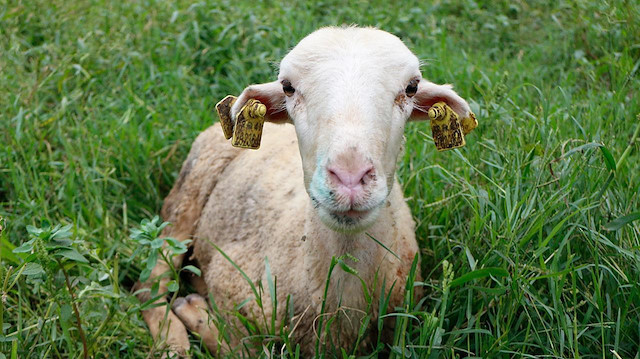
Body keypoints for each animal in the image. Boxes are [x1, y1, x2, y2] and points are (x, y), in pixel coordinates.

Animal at [136, 26, 476, 358]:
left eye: (411, 87)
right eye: (288, 87)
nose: (349, 177)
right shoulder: (229, 279)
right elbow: (243, 349)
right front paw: (195, 313)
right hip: (183, 203)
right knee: (149, 283)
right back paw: (173, 342)